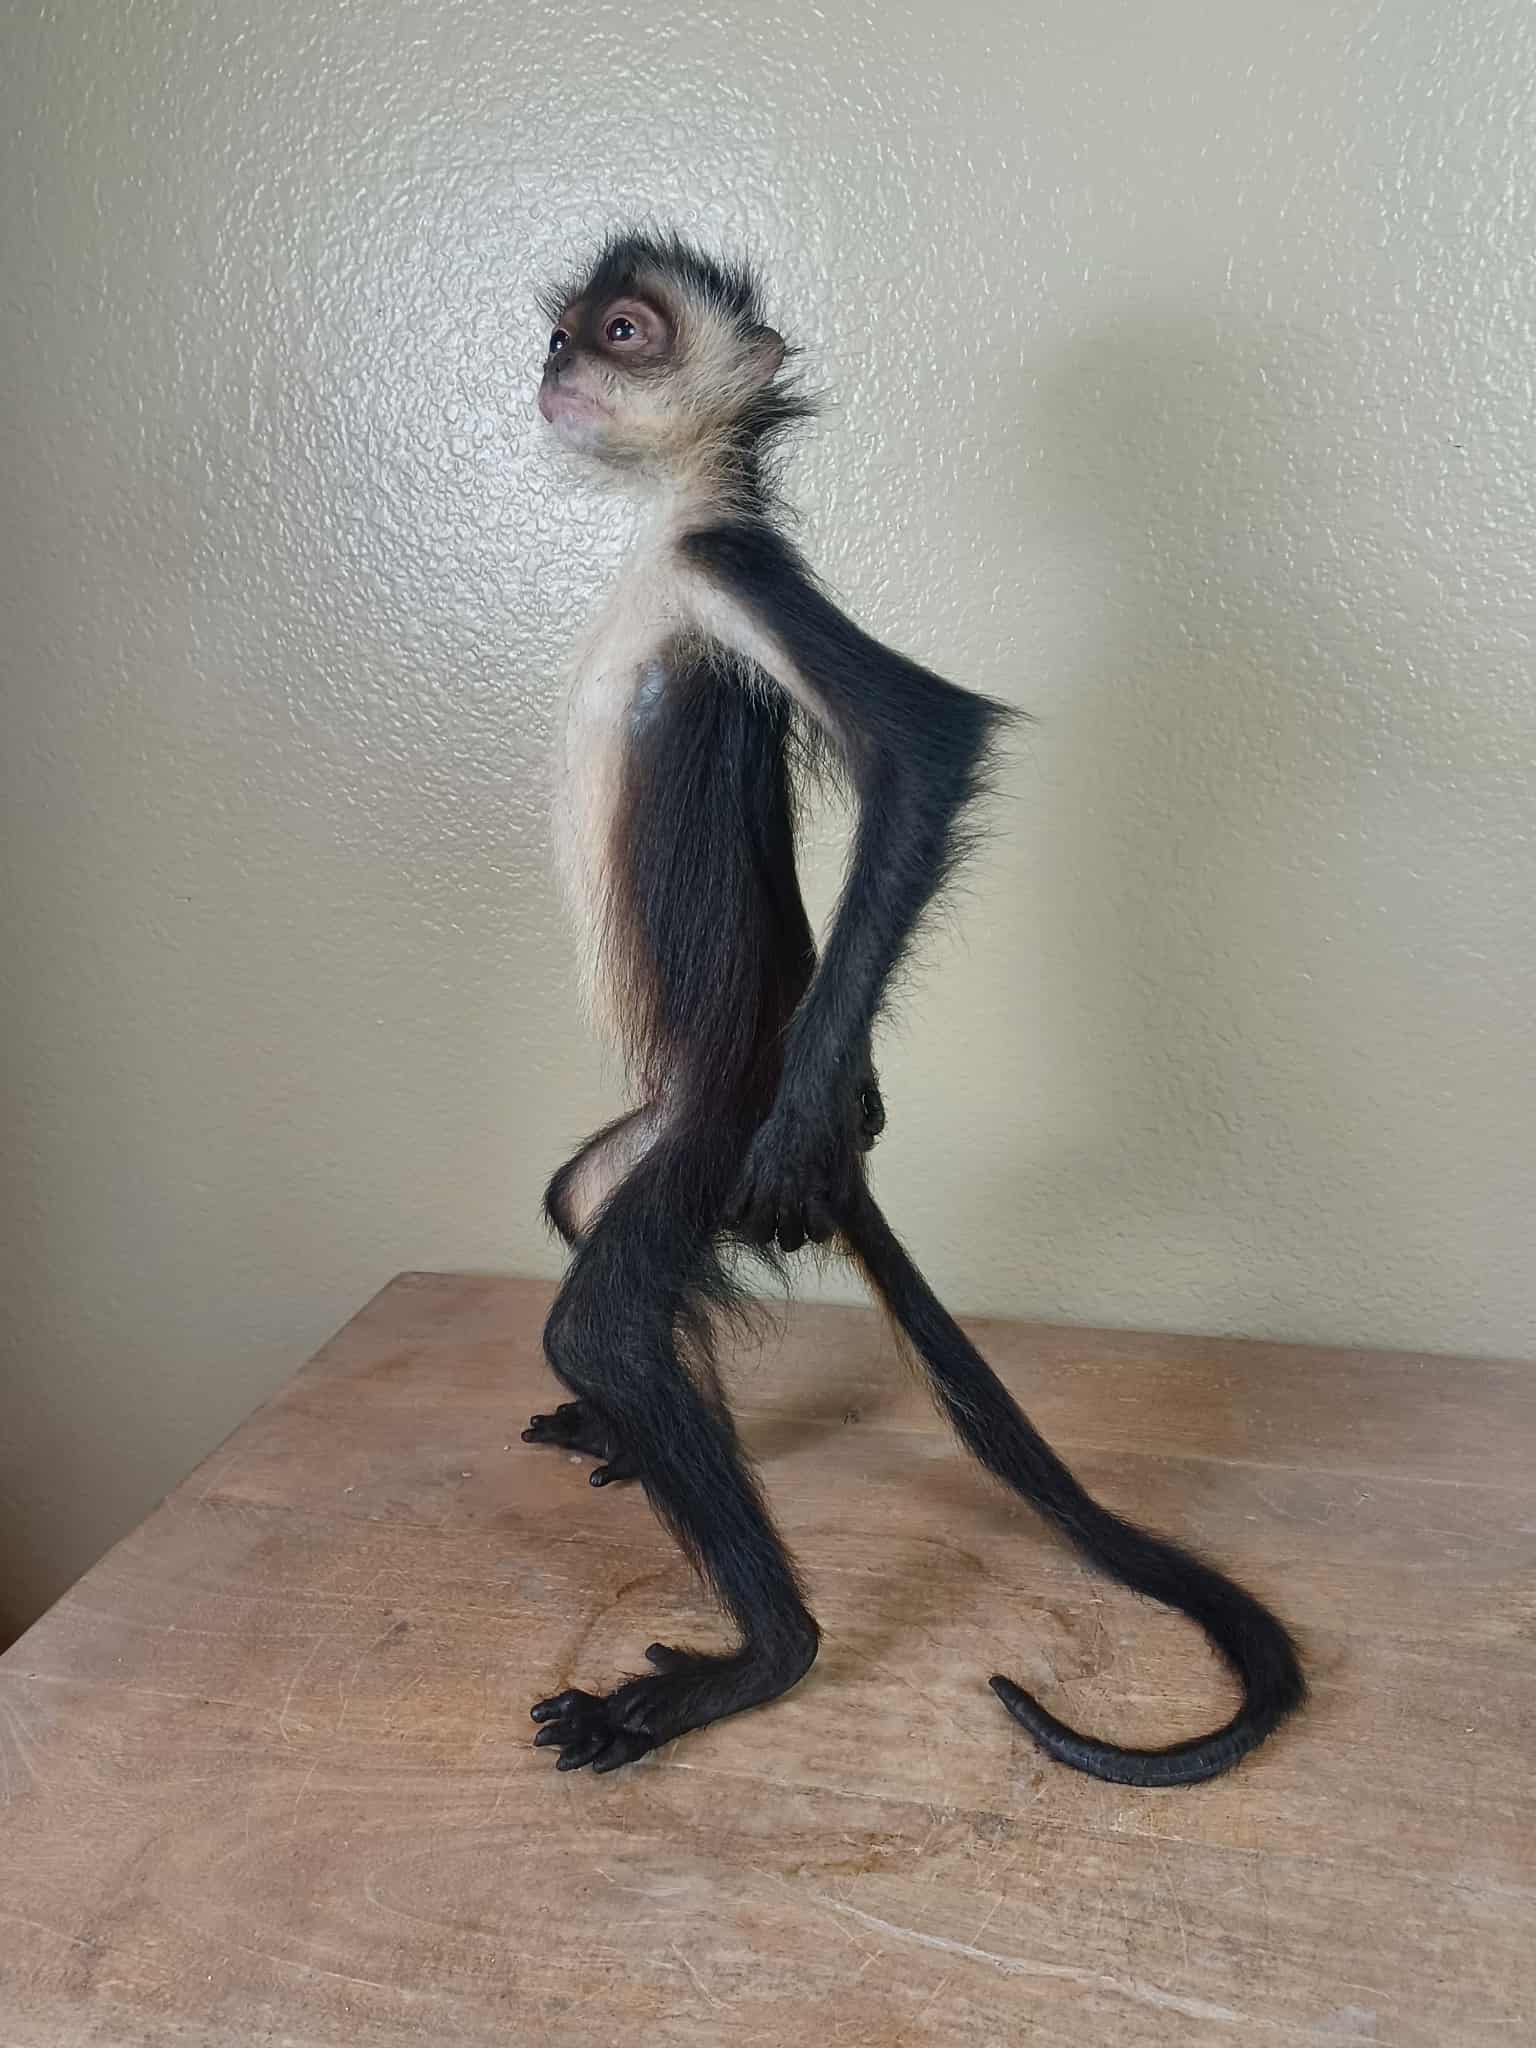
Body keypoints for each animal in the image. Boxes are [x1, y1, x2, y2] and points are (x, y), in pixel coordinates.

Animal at [522, 230, 1305, 1784]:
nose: (558, 364)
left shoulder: (729, 567)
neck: (663, 531)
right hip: (658, 1137)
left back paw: (762, 1658)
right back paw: (645, 1441)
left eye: (628, 331)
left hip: (708, 1134)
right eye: (569, 329)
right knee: (588, 1206)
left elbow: (927, 748)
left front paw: (827, 1114)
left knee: (612, 1318)